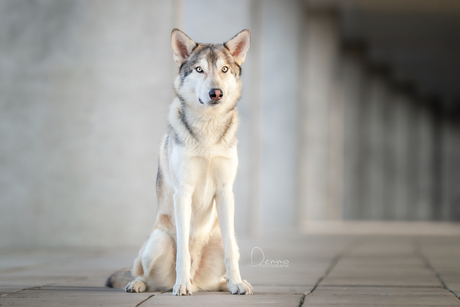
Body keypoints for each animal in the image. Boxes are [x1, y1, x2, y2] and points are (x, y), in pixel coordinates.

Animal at [105, 28, 252, 296]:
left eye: (224, 69)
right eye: (199, 69)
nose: (216, 92)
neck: (208, 131)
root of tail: (198, 280)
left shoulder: (226, 193)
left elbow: (232, 253)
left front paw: (237, 283)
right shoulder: (183, 193)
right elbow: (183, 251)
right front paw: (181, 285)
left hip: (219, 239)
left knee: (223, 265)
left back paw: (223, 283)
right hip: (158, 241)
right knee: (142, 274)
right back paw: (141, 284)